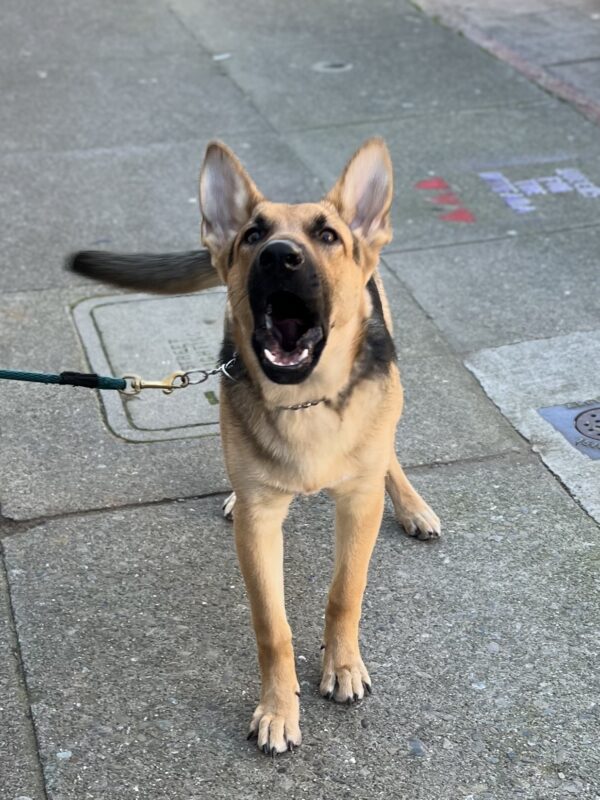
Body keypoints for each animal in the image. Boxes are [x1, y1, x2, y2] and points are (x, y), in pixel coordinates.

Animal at [69, 138, 440, 756]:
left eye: (328, 236)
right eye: (252, 235)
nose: (278, 257)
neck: (305, 405)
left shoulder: (356, 504)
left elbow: (346, 591)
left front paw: (341, 664)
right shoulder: (260, 524)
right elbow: (273, 627)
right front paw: (278, 708)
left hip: (392, 391)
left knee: (385, 448)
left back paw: (412, 504)